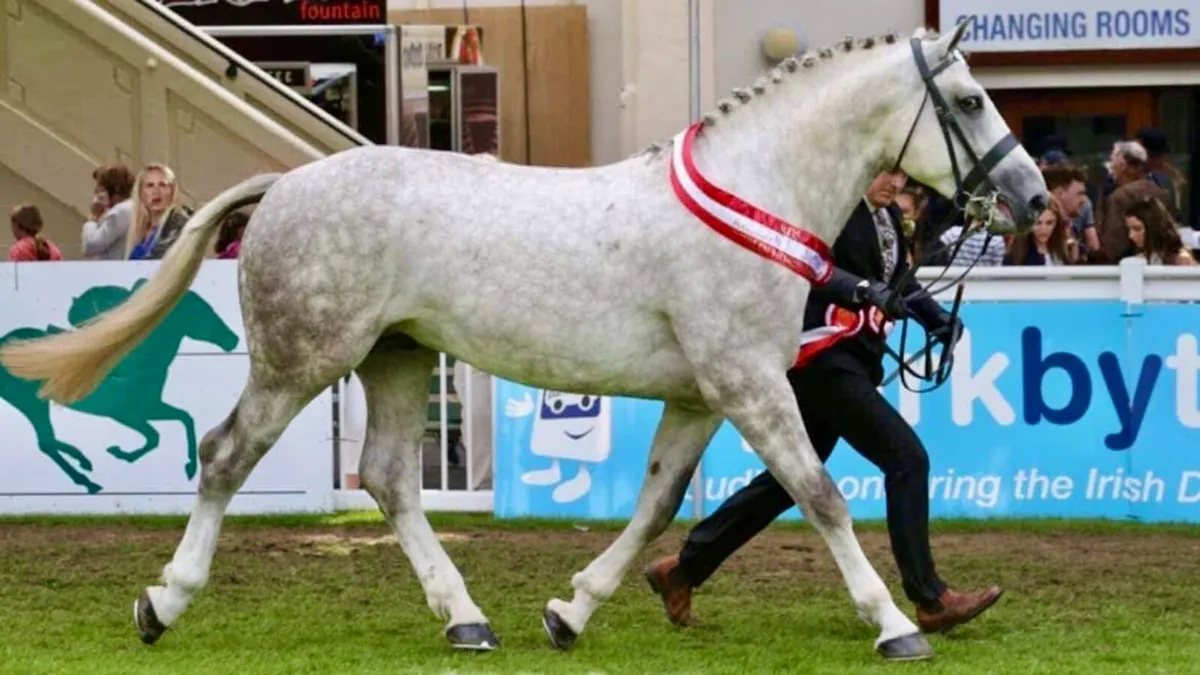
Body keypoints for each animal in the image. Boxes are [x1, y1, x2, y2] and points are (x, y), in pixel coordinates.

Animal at [0, 281, 238, 494]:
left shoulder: (149, 407)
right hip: (31, 404)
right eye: (202, 311)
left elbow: (184, 418)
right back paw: (87, 478)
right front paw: (122, 453)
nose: (232, 339)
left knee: (48, 441)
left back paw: (83, 462)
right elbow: (155, 436)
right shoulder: (125, 414)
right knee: (46, 442)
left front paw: (190, 467)